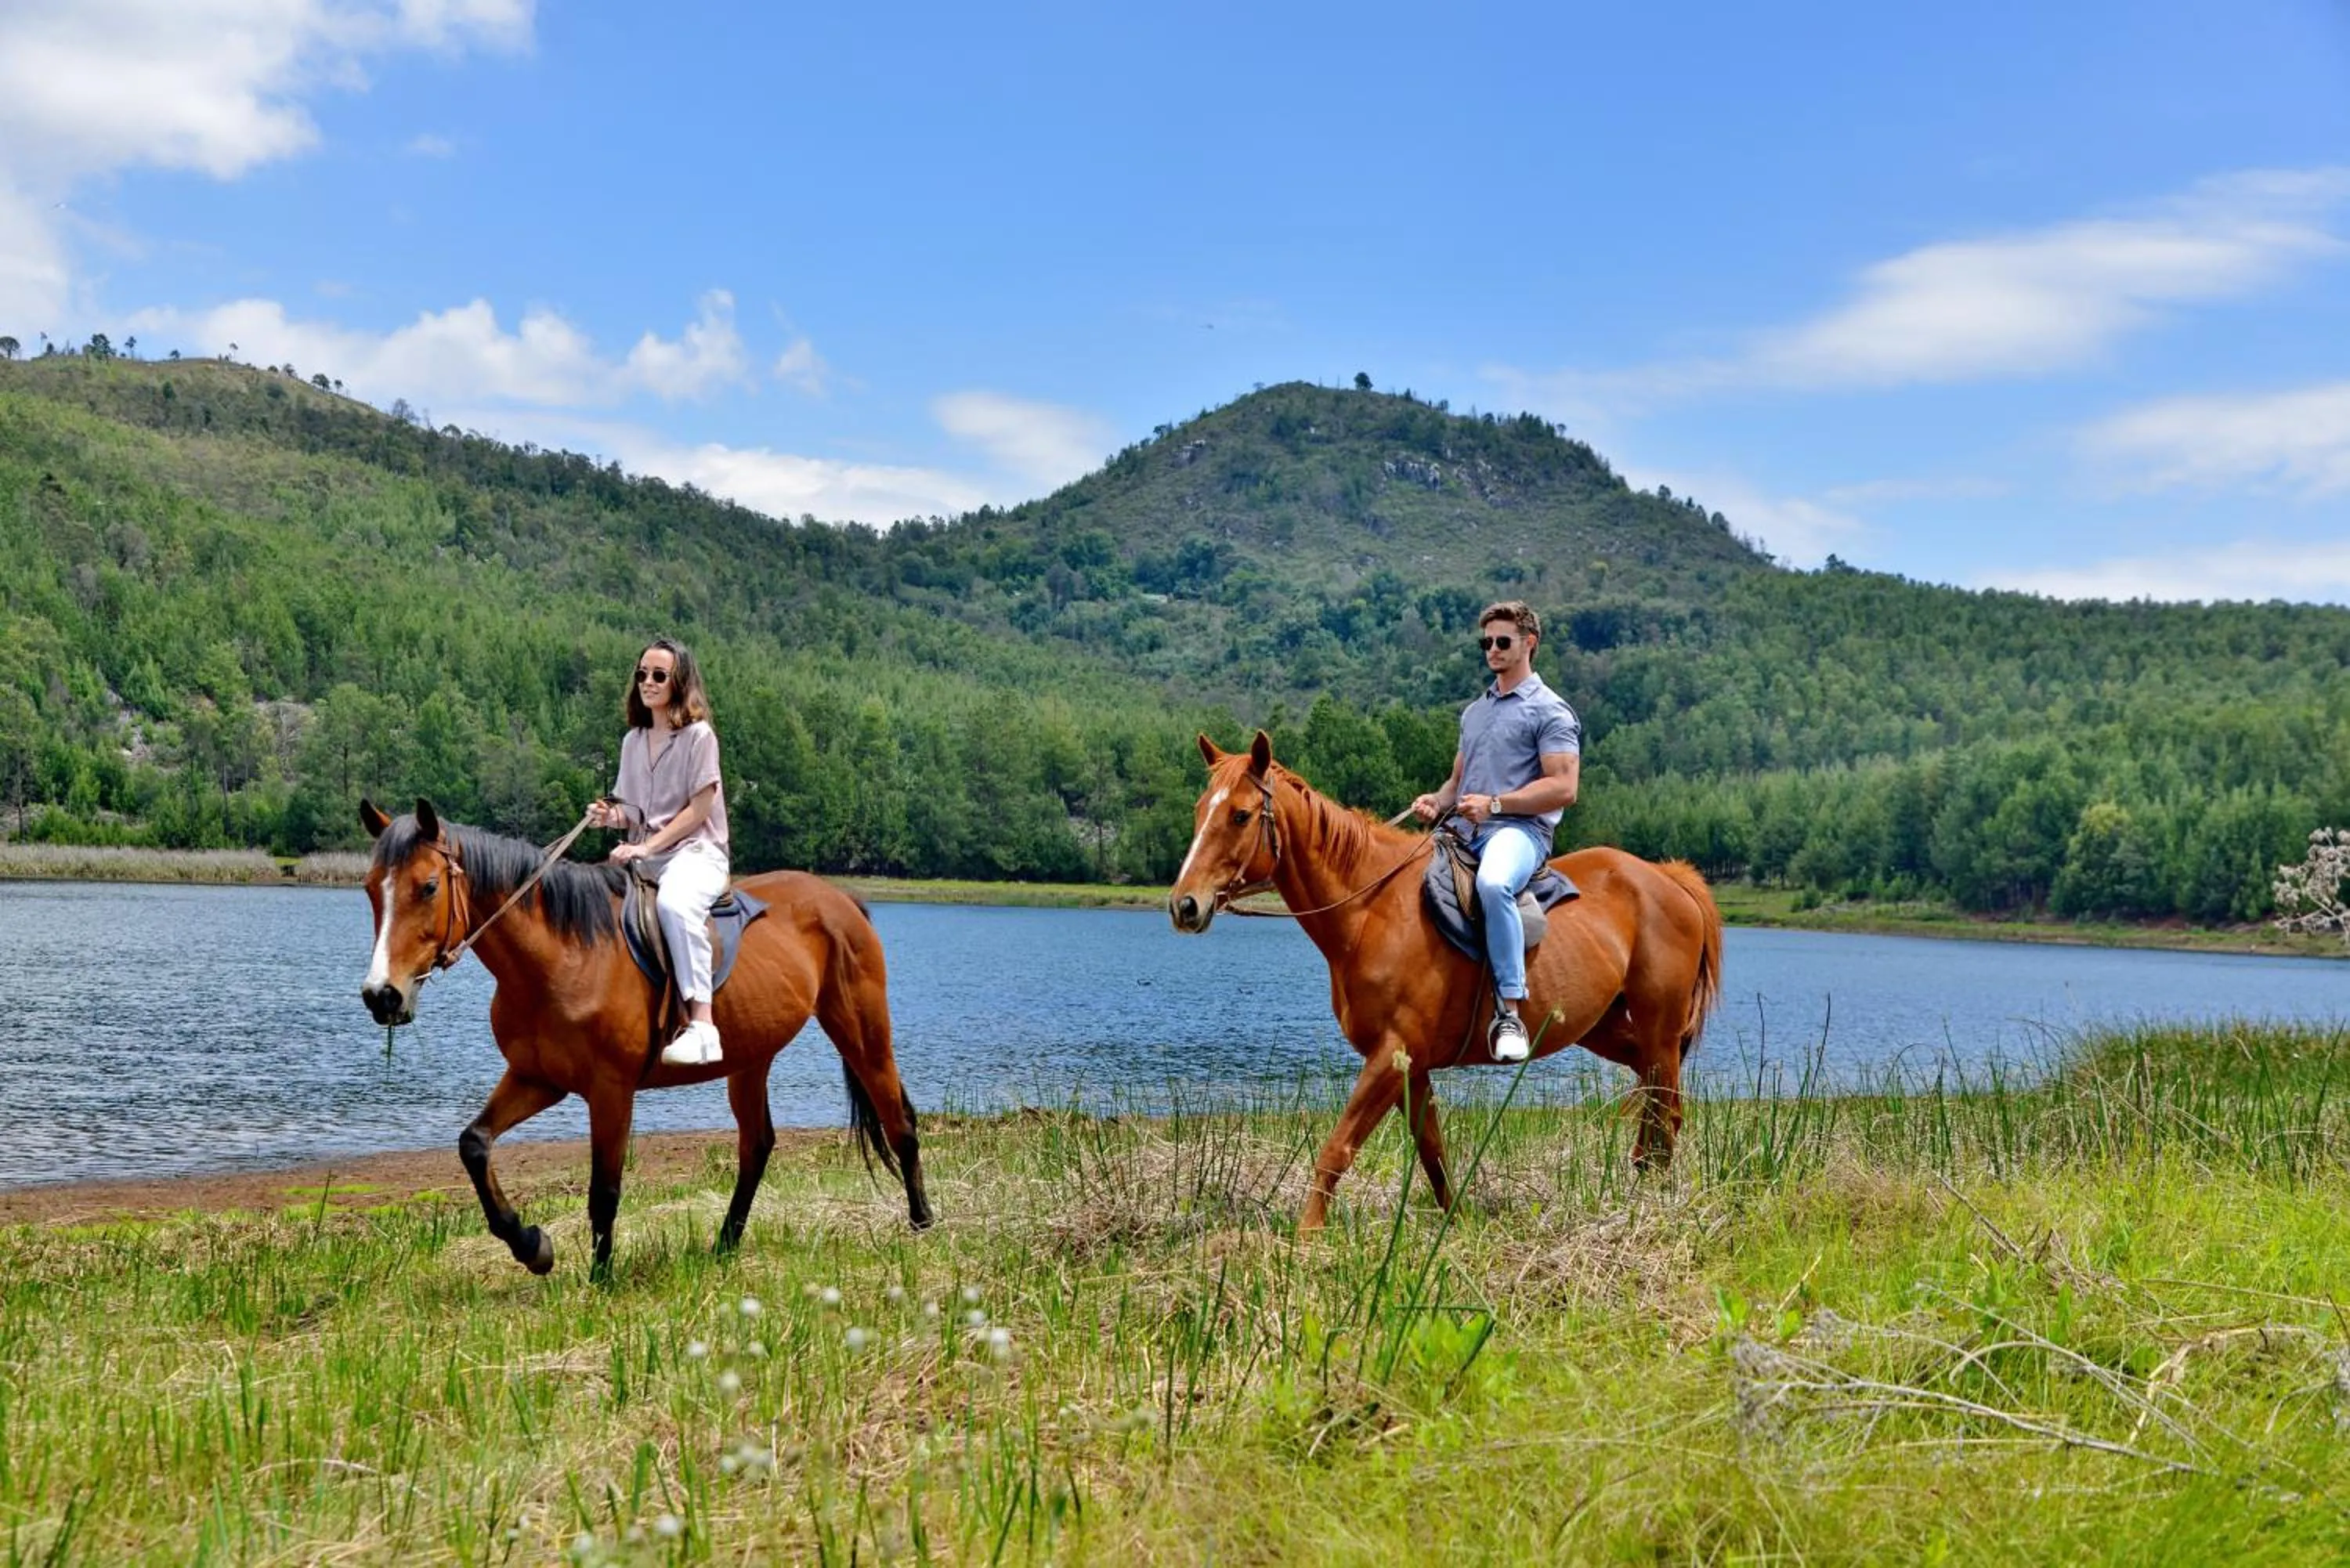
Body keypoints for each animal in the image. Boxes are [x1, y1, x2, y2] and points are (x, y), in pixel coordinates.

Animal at [357, 798, 932, 1278]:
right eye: (369, 888)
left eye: (428, 887)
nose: (382, 995)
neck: (562, 958)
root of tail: (842, 899)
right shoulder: (537, 1078)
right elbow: (474, 1144)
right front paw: (531, 1246)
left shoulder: (611, 1090)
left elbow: (604, 1190)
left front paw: (601, 1280)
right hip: (751, 1058)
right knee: (757, 1146)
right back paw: (725, 1244)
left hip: (862, 1031)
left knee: (898, 1123)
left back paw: (922, 1222)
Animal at [1167, 733, 1723, 1232]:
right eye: (1198, 810)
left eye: (1240, 815)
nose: (1184, 905)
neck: (1371, 911)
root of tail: (1669, 879)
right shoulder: (1412, 1067)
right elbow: (1432, 1151)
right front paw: (1456, 1220)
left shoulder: (1393, 1054)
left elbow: (1338, 1146)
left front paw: (1306, 1237)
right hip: (1607, 1029)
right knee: (1653, 1096)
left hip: (1658, 1026)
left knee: (1667, 1108)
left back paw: (1656, 1198)